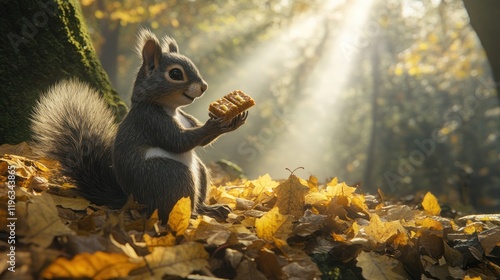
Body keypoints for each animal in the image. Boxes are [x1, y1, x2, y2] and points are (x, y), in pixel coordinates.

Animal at [30, 28, 247, 221]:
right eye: (176, 74)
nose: (204, 87)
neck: (170, 109)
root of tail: (133, 201)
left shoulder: (186, 117)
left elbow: (199, 142)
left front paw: (233, 120)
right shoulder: (150, 121)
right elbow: (179, 141)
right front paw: (215, 123)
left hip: (199, 171)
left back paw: (210, 209)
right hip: (170, 175)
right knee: (170, 209)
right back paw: (192, 215)